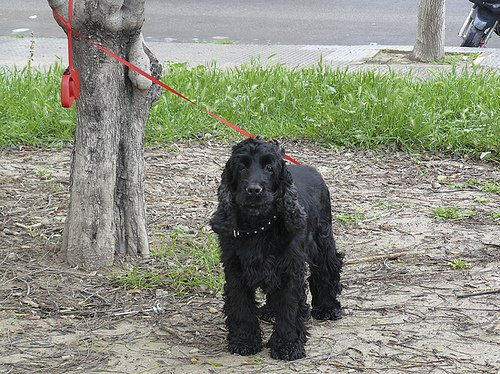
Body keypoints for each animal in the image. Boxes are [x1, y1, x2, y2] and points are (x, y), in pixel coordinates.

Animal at [209, 137, 342, 360]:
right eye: (242, 167)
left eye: (269, 168)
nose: (254, 190)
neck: (258, 227)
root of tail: (310, 169)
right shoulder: (235, 268)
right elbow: (241, 305)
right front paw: (244, 341)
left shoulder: (290, 268)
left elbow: (289, 306)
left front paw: (287, 345)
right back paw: (270, 311)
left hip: (323, 240)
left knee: (327, 270)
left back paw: (328, 308)